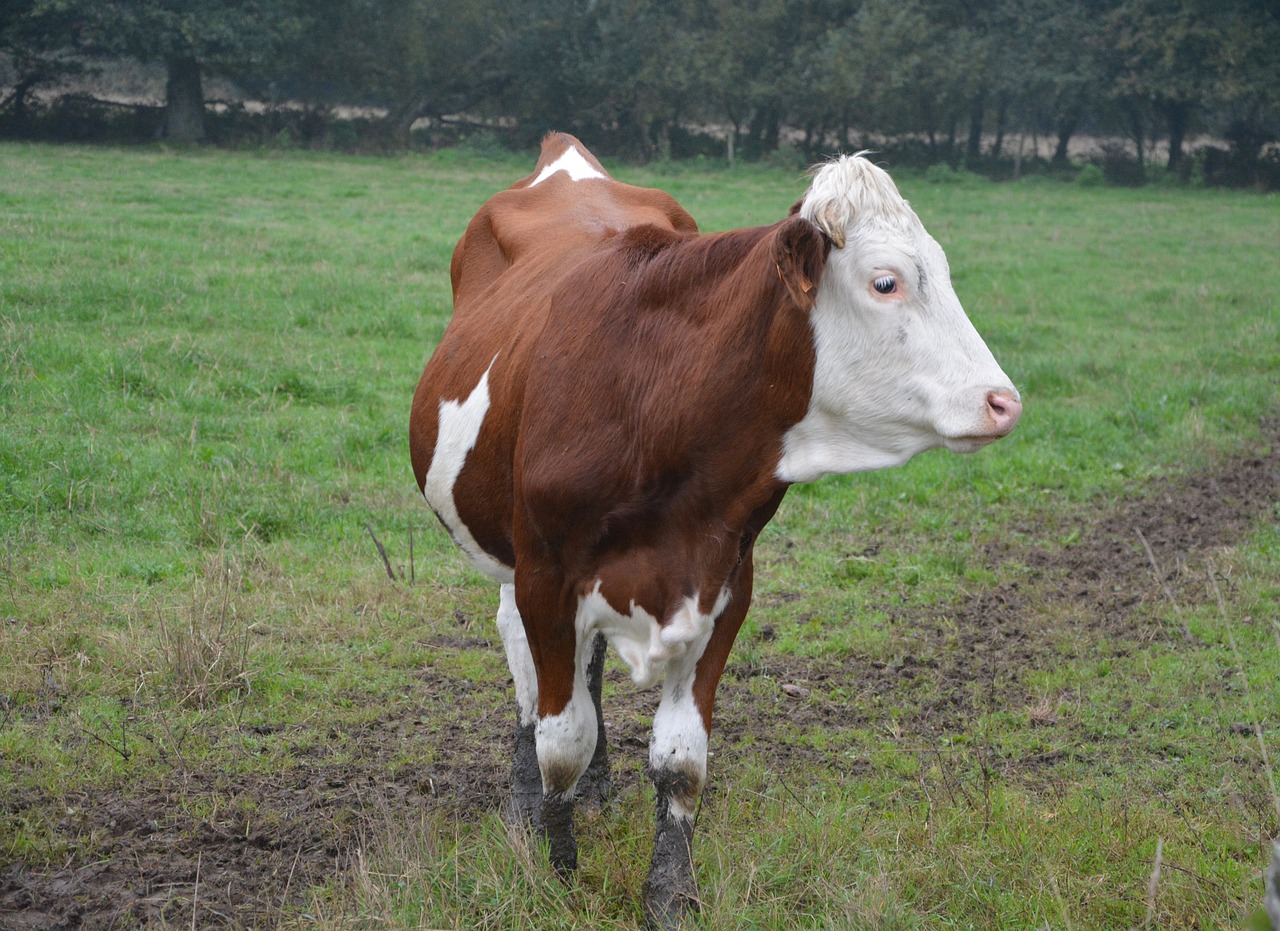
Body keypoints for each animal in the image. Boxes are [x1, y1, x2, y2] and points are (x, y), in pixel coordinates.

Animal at [409, 131, 1018, 927]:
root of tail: (567, 161)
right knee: (528, 673)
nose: (1003, 402)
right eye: (886, 283)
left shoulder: (727, 583)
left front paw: (670, 893)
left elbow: (681, 762)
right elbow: (561, 736)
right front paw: (558, 868)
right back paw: (525, 802)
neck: (654, 401)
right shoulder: (548, 575)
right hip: (512, 557)